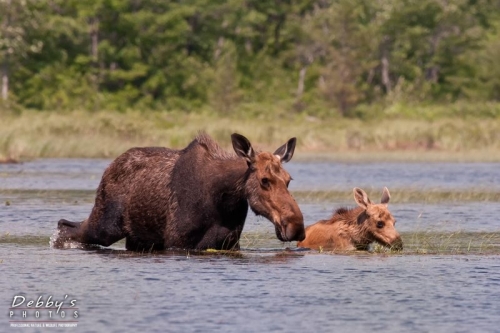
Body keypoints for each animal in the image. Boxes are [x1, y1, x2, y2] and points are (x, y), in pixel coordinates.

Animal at [53, 132, 304, 249]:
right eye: (264, 180)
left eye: (288, 180)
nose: (296, 226)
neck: (224, 201)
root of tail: (109, 167)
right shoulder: (177, 242)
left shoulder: (229, 244)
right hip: (104, 226)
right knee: (64, 226)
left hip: (138, 238)